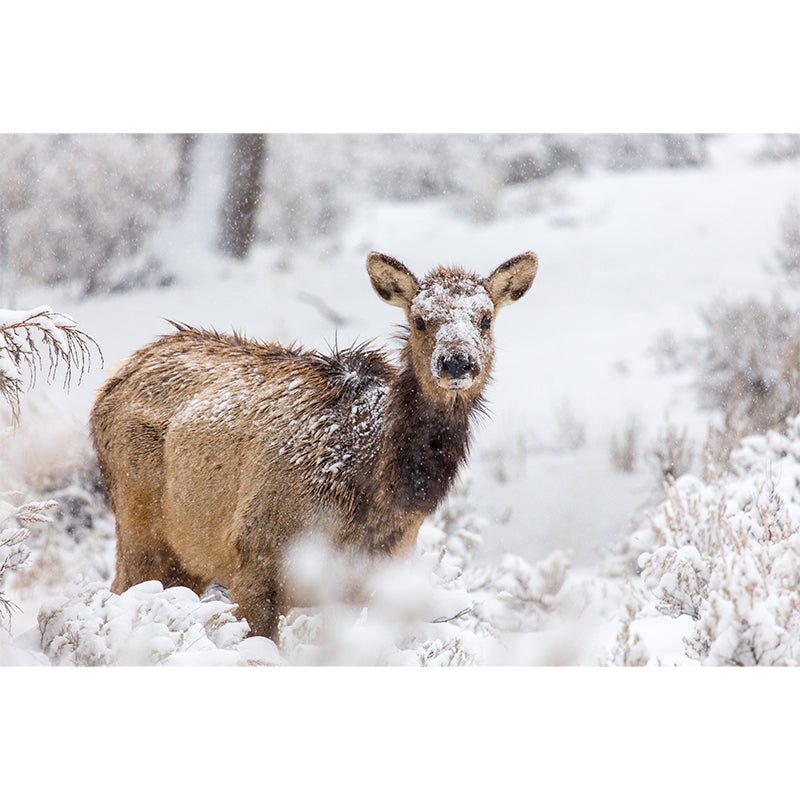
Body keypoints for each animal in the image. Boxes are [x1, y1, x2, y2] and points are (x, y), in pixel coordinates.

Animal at [90, 250, 538, 640]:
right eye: (420, 319)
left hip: (189, 557)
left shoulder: (372, 581)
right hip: (139, 526)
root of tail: (114, 379)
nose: (457, 362)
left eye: (486, 318)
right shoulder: (255, 557)